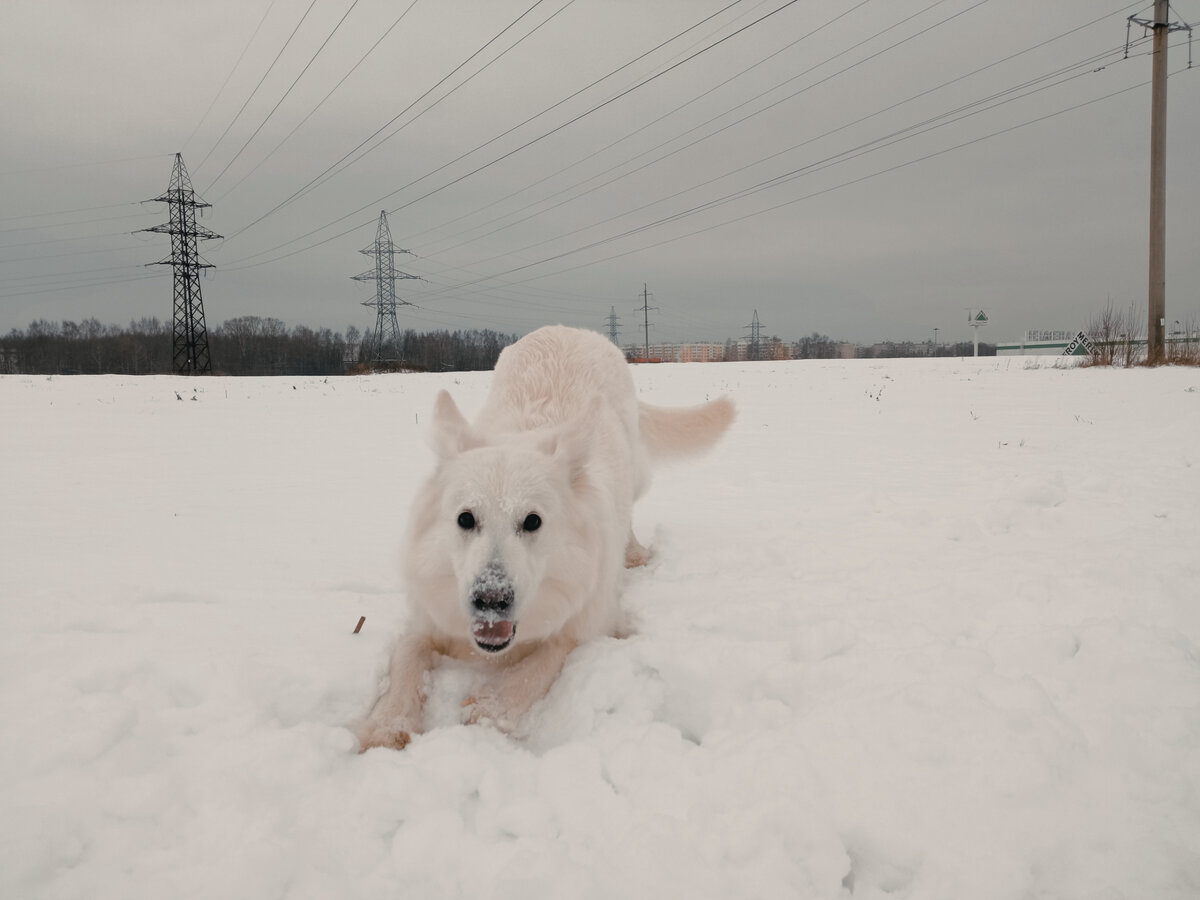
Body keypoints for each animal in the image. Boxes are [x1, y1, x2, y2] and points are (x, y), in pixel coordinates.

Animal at [355, 328, 729, 748]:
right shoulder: (430, 616)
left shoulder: (593, 617)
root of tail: (569, 329)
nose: (491, 599)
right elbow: (407, 655)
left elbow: (548, 656)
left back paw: (633, 553)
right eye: (465, 519)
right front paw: (388, 722)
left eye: (532, 521)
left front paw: (491, 708)